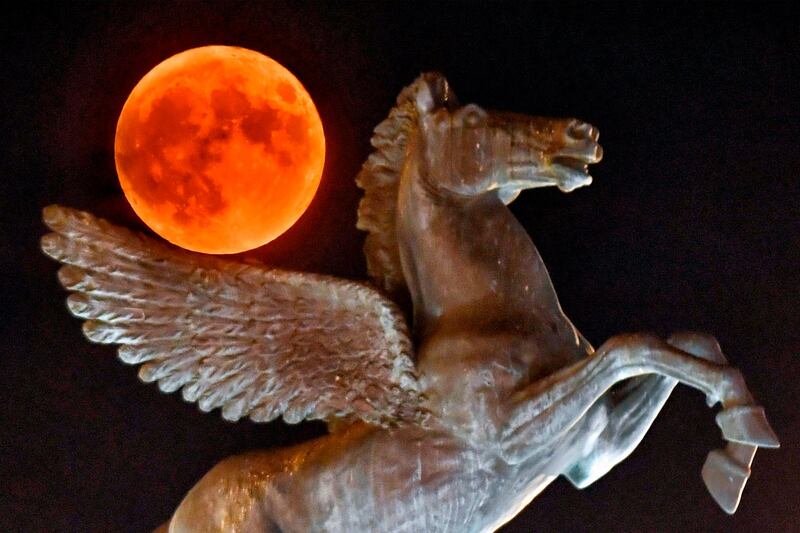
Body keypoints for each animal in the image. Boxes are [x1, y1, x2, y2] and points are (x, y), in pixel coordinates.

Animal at [40, 72, 780, 528]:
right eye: (475, 117)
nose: (580, 135)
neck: (485, 316)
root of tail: (178, 516)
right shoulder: (504, 430)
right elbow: (633, 345)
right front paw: (746, 432)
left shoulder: (587, 453)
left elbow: (680, 343)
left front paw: (738, 445)